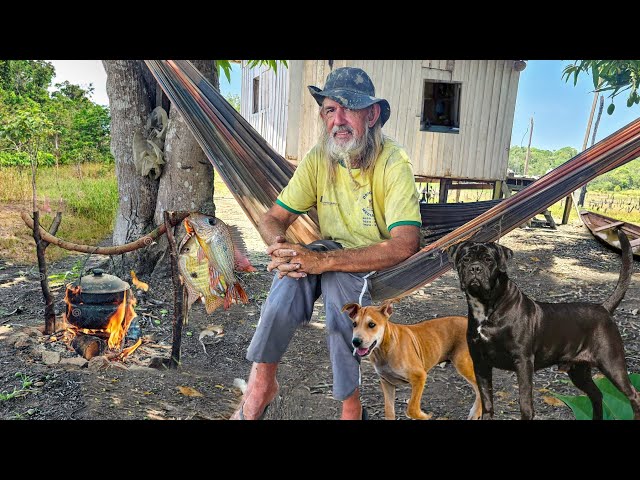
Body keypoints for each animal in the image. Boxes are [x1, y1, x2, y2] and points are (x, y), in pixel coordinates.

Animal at [344, 300, 480, 420]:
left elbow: (412, 408)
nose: (355, 342)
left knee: (479, 388)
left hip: (463, 363)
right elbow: (389, 411)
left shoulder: (419, 376)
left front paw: (425, 416)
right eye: (354, 324)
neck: (384, 349)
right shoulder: (387, 382)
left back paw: (476, 412)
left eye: (372, 324)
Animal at [448, 230, 636, 420]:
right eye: (465, 259)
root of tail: (603, 308)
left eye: (488, 260)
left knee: (633, 394)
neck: (488, 307)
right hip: (579, 371)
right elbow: (486, 400)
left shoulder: (523, 361)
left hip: (612, 363)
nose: (475, 268)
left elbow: (525, 402)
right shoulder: (480, 362)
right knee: (596, 394)